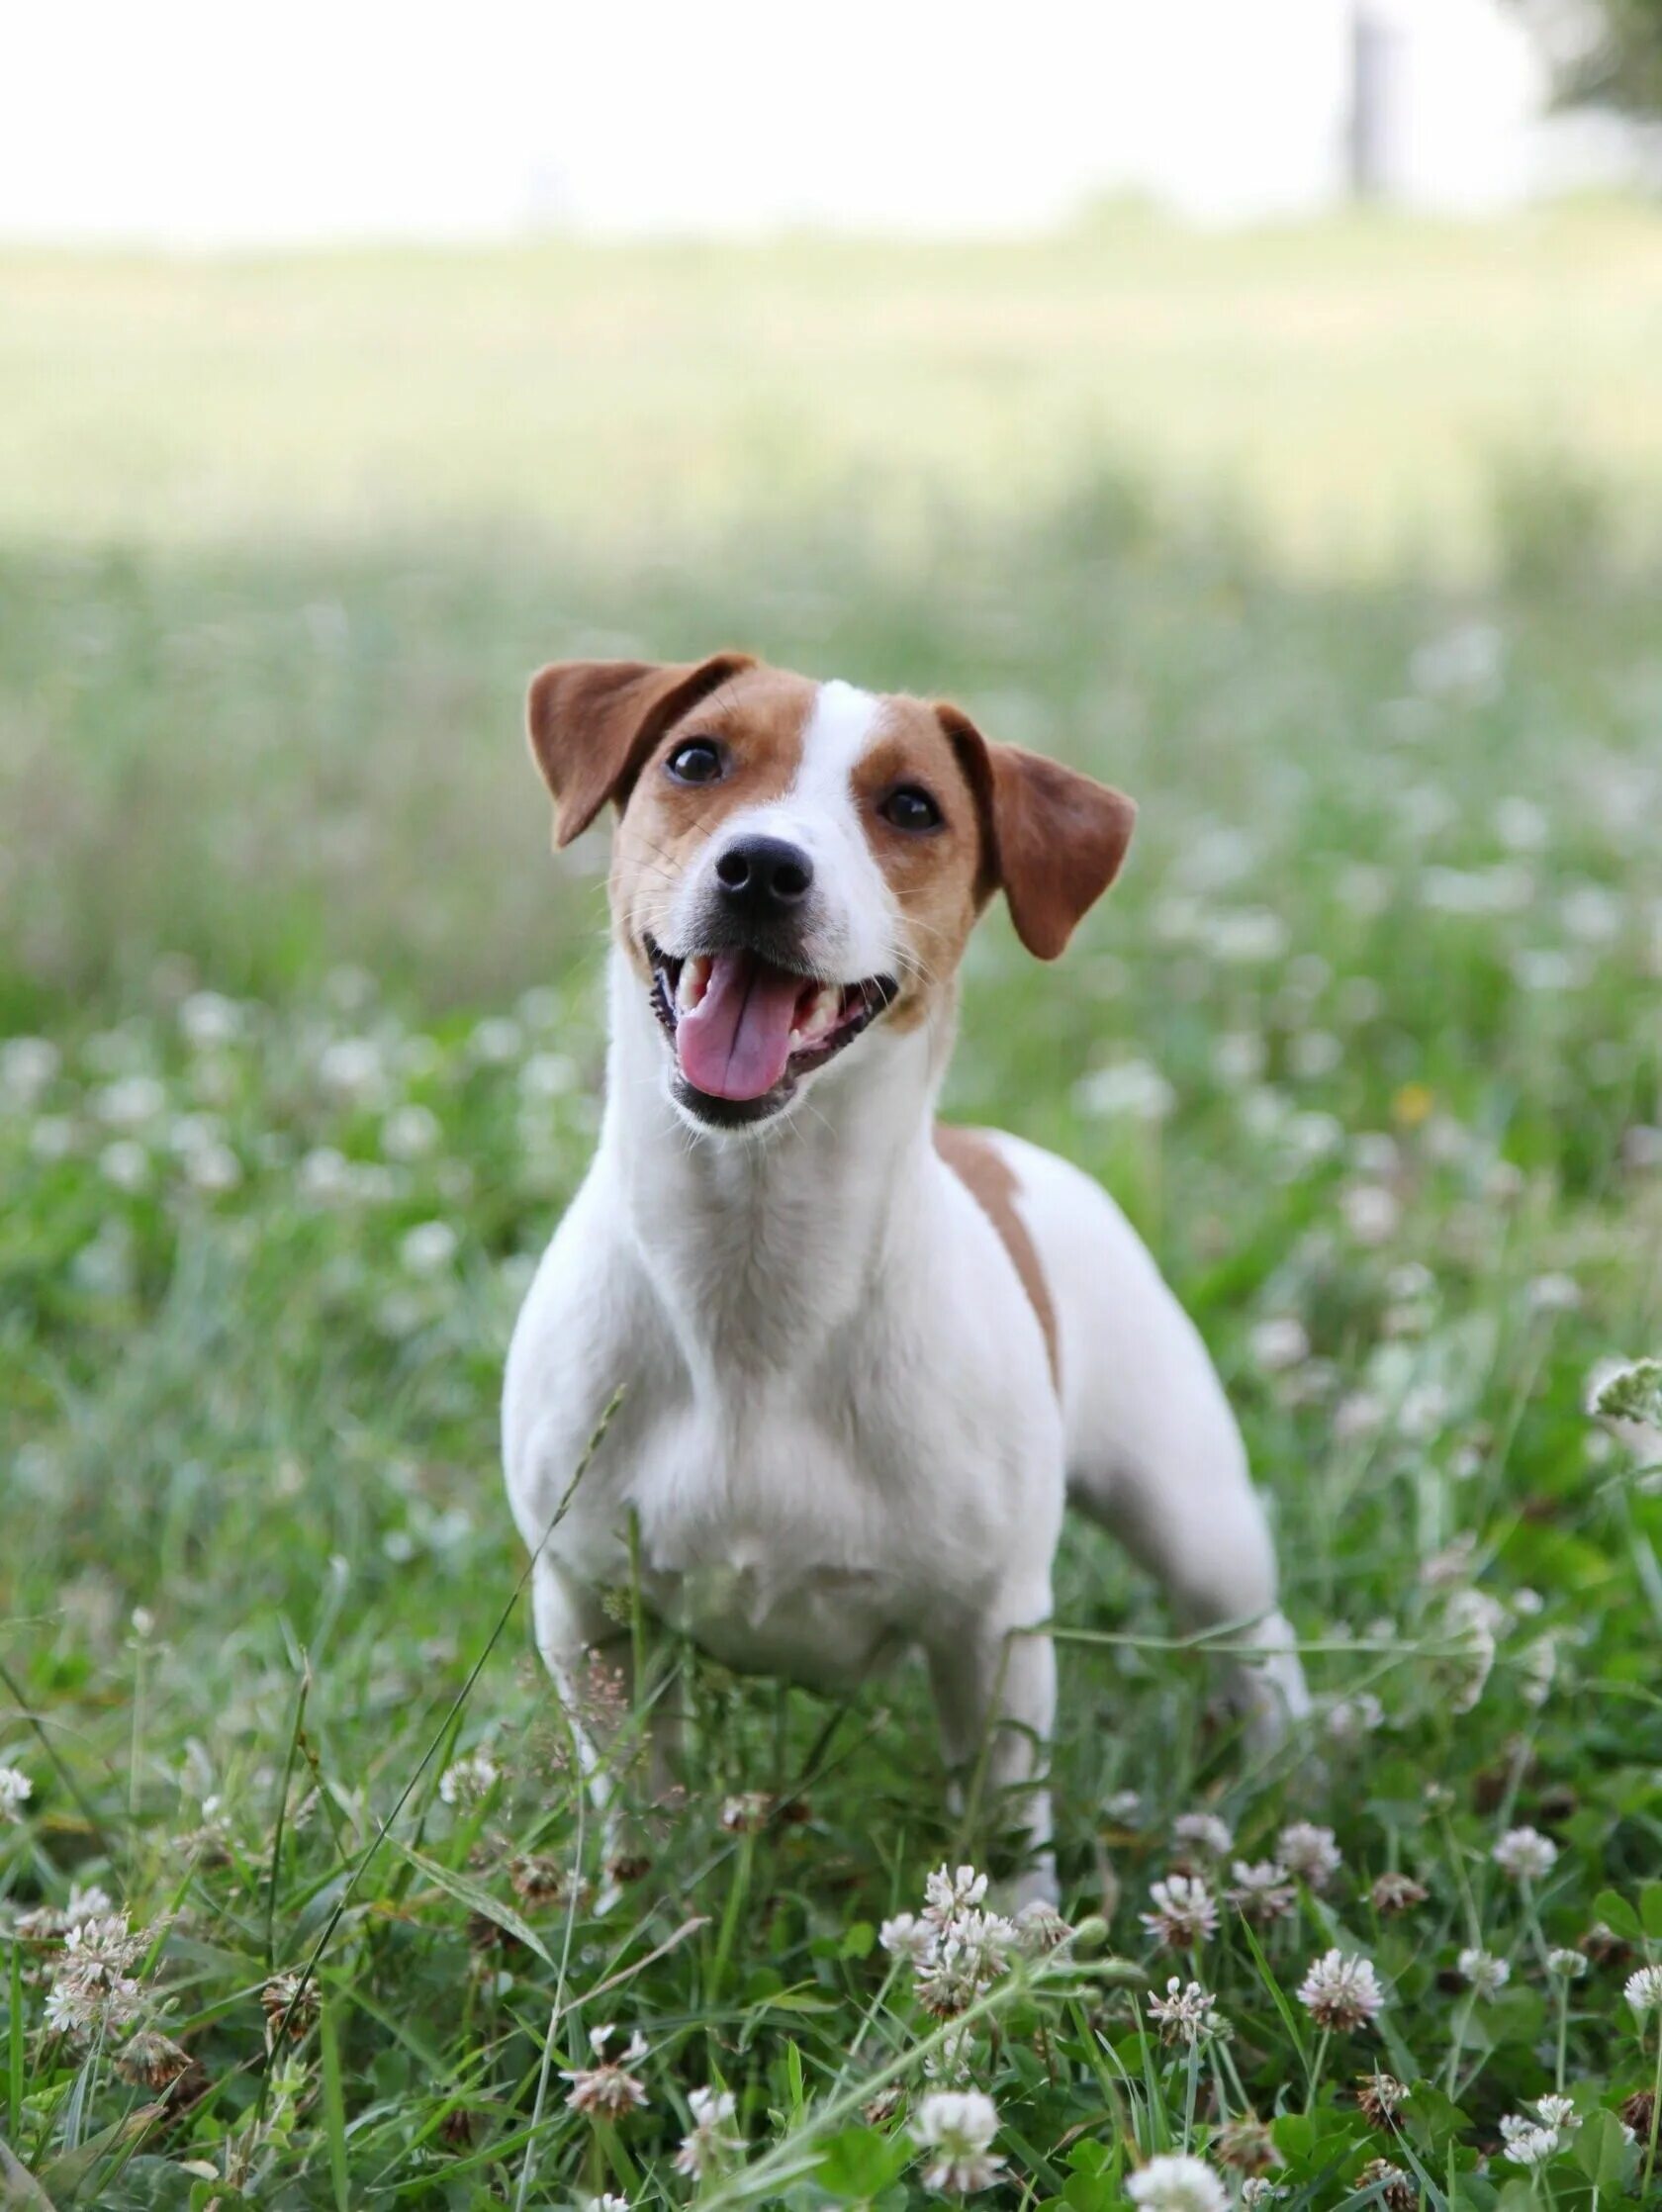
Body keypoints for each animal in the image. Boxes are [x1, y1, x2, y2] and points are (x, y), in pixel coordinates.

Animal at [500, 654, 1310, 1901]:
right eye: (696, 758)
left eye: (914, 807)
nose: (762, 867)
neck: (756, 1263)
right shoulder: (590, 1612)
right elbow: (638, 1805)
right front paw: (647, 1914)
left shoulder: (991, 1632)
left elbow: (1004, 1826)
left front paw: (1014, 1937)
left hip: (1194, 1514)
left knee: (1254, 1644)